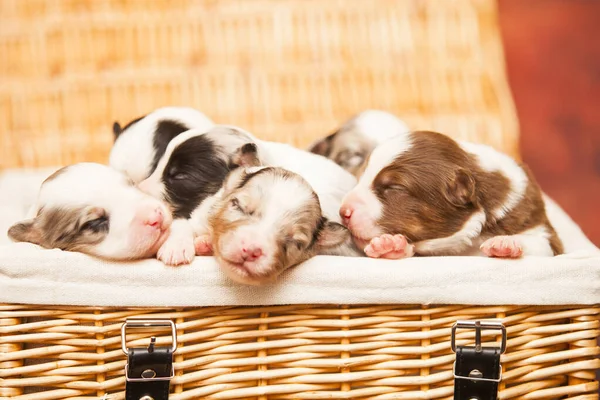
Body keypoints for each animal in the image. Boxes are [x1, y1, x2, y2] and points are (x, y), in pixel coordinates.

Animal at [340, 131, 564, 260]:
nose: (343, 212)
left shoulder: (540, 227)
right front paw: (389, 246)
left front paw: (506, 243)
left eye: (395, 188)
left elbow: (542, 245)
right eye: (360, 177)